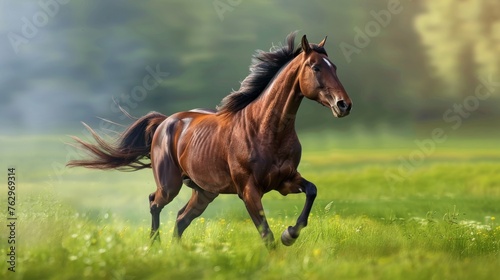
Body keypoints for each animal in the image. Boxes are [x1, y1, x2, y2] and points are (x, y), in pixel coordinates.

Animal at [67, 32, 352, 247]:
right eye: (315, 67)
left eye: (336, 67)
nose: (344, 105)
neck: (266, 130)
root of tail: (165, 122)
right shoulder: (248, 190)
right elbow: (266, 234)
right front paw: (283, 242)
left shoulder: (286, 180)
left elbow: (311, 191)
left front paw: (290, 234)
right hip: (170, 185)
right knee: (154, 202)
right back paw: (154, 244)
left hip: (204, 192)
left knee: (181, 218)